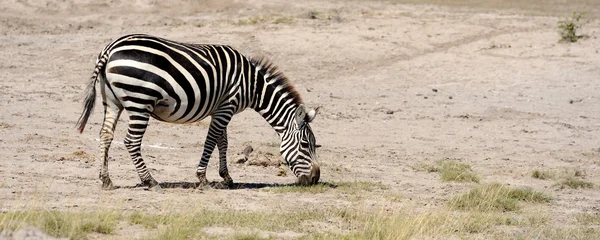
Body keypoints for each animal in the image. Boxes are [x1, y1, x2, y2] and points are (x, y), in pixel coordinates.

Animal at [77, 34, 322, 191]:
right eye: (305, 145)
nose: (315, 178)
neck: (252, 86)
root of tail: (110, 48)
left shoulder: (221, 109)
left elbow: (223, 142)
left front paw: (227, 177)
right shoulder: (226, 107)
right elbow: (211, 141)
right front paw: (203, 178)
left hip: (113, 101)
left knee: (106, 136)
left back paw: (106, 180)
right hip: (140, 101)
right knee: (131, 141)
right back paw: (150, 182)